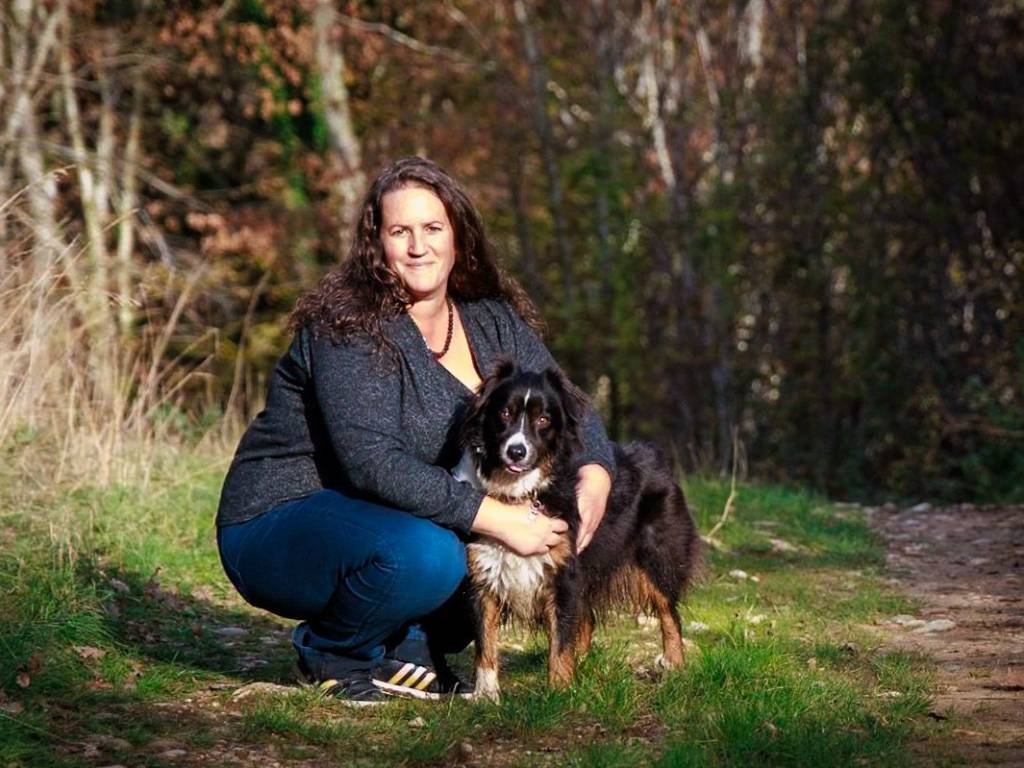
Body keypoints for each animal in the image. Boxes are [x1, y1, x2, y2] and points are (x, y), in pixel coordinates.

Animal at [454, 360, 702, 701]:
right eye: (504, 413)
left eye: (543, 419)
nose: (516, 451)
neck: (520, 492)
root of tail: (656, 455)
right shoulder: (484, 574)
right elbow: (485, 641)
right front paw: (486, 696)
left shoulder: (563, 573)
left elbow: (560, 641)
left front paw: (558, 693)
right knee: (587, 621)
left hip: (657, 556)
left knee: (669, 612)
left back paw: (674, 664)